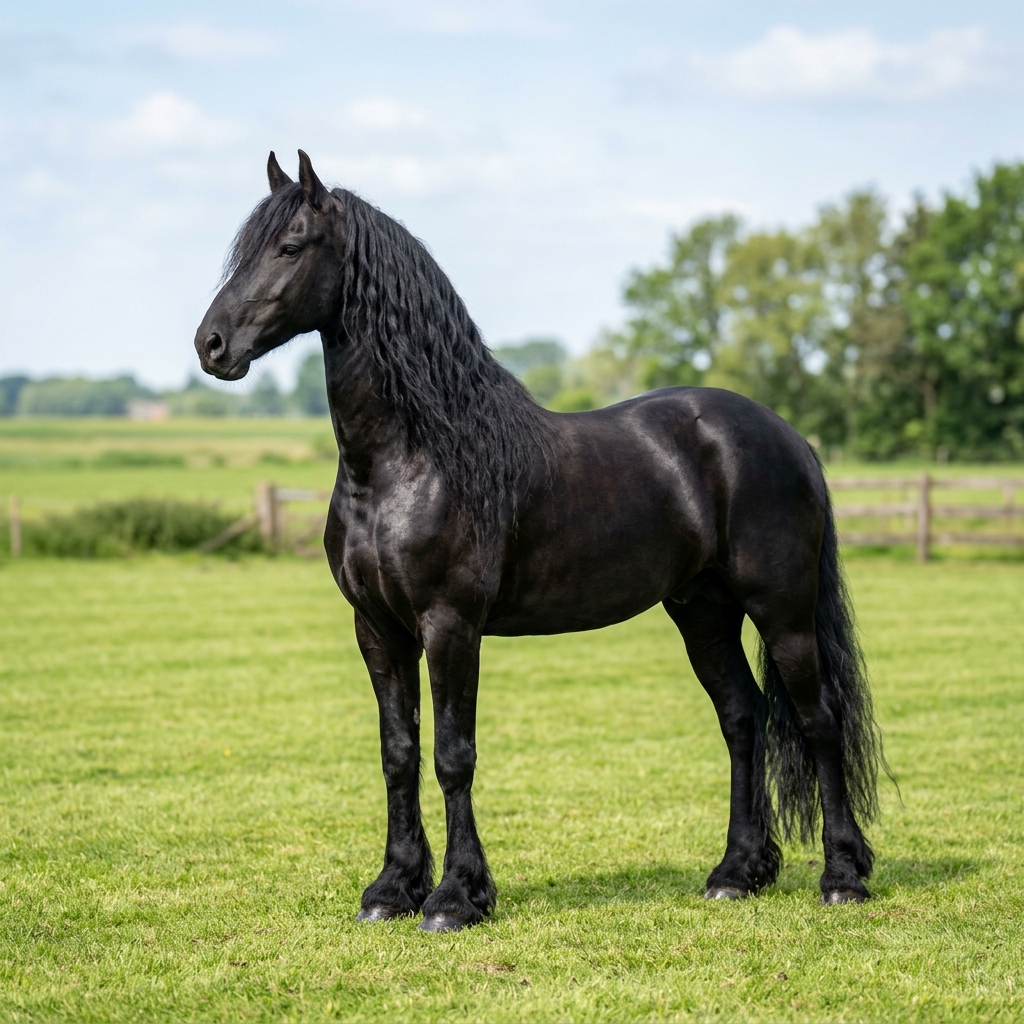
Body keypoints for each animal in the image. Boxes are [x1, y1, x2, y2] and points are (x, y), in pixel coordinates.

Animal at [194, 150, 887, 933]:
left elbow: (452, 755)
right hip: (703, 610)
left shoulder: (450, 625)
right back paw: (736, 872)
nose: (210, 345)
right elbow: (399, 753)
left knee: (817, 718)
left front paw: (455, 898)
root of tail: (787, 436)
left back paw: (842, 875)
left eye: (290, 246)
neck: (414, 459)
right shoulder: (376, 628)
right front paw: (391, 890)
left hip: (782, 608)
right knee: (743, 717)